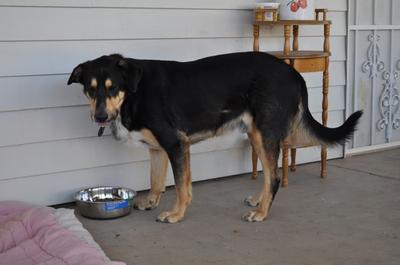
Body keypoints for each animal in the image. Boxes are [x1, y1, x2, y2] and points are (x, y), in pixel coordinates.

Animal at [67, 51, 360, 221]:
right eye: (90, 89)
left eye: (112, 87)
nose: (100, 117)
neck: (134, 91)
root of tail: (295, 73)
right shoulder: (158, 148)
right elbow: (156, 180)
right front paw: (151, 201)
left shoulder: (176, 144)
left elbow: (181, 186)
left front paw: (176, 214)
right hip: (255, 133)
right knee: (270, 174)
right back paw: (259, 200)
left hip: (264, 133)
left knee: (275, 177)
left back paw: (261, 212)